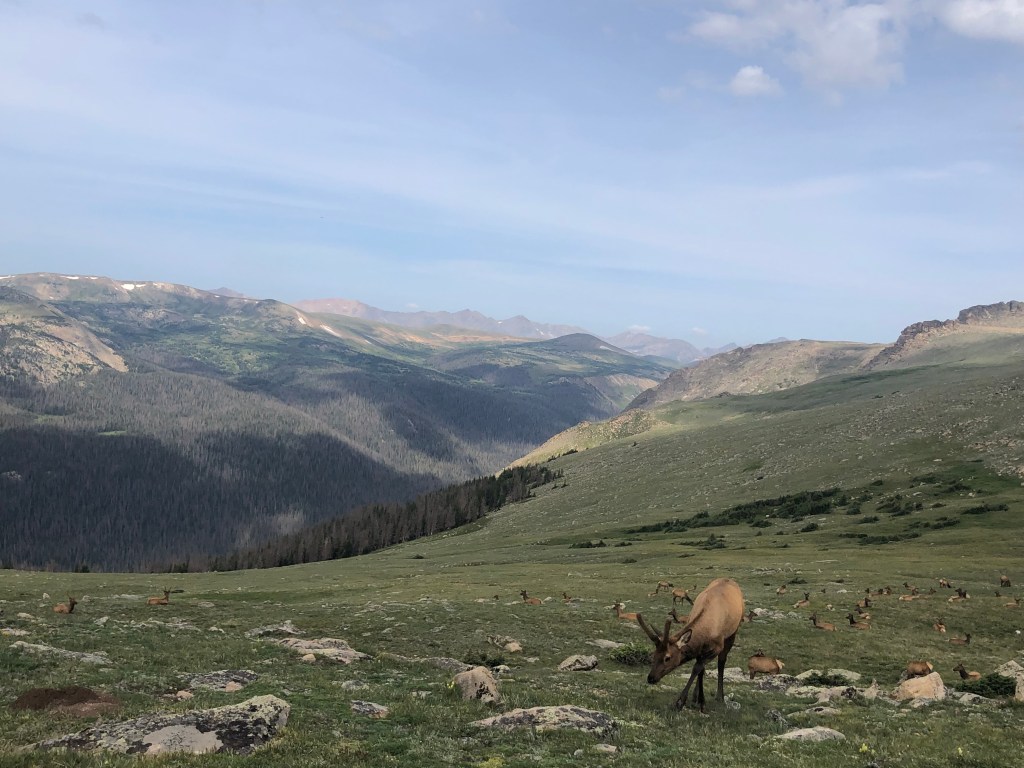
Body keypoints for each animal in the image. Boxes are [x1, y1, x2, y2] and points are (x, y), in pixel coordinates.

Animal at [636, 577, 744, 713]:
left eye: (667, 658)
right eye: (654, 655)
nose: (651, 678)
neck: (706, 632)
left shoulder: (717, 647)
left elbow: (697, 668)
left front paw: (681, 701)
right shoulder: (700, 649)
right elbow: (701, 670)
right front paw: (698, 700)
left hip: (733, 632)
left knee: (722, 662)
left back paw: (720, 696)